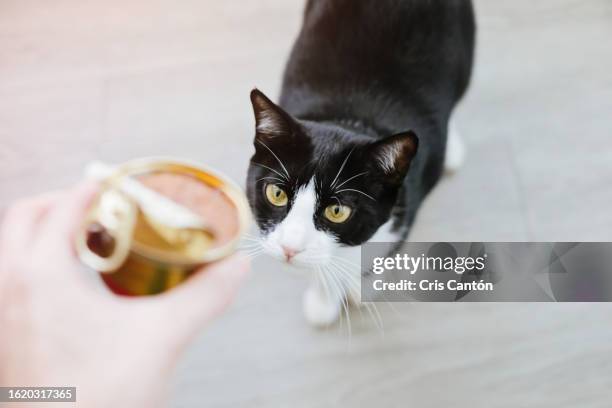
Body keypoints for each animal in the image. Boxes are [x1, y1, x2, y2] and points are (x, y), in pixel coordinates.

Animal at [246, 0, 476, 326]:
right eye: (276, 193)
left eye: (337, 211)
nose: (290, 248)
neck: (348, 120)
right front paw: (324, 299)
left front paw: (362, 286)